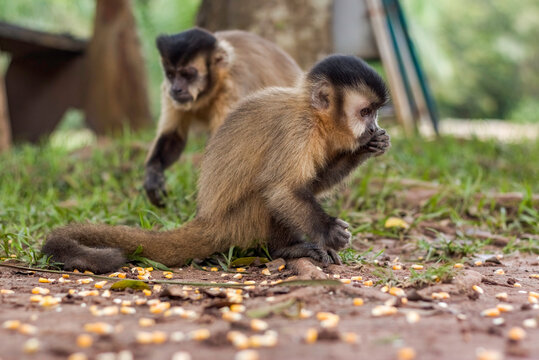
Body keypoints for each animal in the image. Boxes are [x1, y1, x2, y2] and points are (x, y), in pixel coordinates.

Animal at [40, 54, 390, 272]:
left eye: (375, 113)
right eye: (364, 112)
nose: (373, 127)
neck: (315, 117)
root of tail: (207, 221)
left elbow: (309, 186)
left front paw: (366, 148)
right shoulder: (297, 129)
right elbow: (281, 190)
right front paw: (329, 230)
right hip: (239, 224)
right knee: (265, 193)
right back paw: (286, 250)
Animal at [143, 26, 304, 207]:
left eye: (187, 75)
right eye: (171, 75)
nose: (176, 88)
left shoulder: (231, 86)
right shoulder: (167, 91)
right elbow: (173, 136)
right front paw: (153, 177)